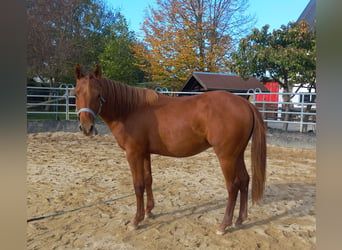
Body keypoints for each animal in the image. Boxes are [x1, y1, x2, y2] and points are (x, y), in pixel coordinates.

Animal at [74, 64, 268, 234]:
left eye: (99, 94)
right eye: (75, 93)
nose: (87, 127)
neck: (130, 110)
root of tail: (245, 103)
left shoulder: (133, 154)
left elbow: (138, 185)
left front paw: (136, 220)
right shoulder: (144, 153)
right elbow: (148, 180)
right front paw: (149, 211)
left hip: (226, 156)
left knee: (233, 186)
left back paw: (223, 225)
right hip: (237, 154)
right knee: (244, 180)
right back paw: (240, 219)